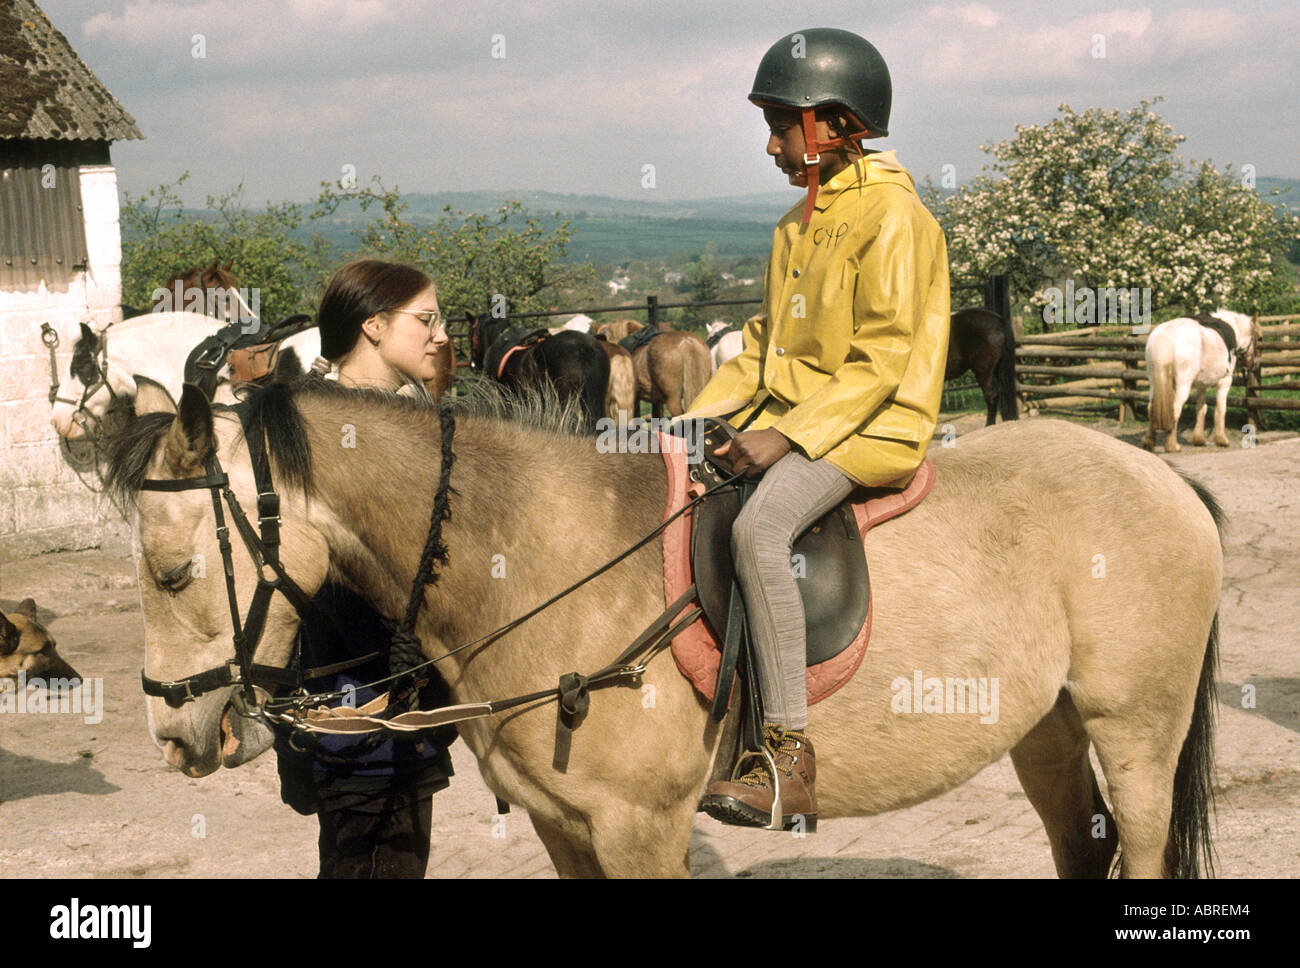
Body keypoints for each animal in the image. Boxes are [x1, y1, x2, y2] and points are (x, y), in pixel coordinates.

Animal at [109, 379, 1216, 878]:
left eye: (173, 572)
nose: (176, 734)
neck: (542, 555)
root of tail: (1161, 476)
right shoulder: (564, 825)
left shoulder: (641, 825)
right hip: (1047, 729)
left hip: (1135, 731)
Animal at [1149, 309, 1258, 452]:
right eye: (1257, 338)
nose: (1252, 363)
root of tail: (1164, 336)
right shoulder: (1225, 382)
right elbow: (1221, 409)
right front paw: (1222, 440)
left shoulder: (1201, 385)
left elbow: (1201, 409)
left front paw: (1199, 439)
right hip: (1183, 386)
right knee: (1175, 409)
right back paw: (1172, 446)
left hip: (1154, 383)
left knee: (1151, 408)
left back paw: (1148, 442)